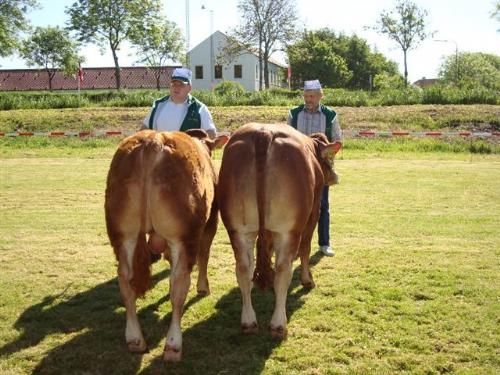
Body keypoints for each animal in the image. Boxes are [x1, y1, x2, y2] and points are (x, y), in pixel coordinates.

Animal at [106, 129, 228, 362]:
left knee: (125, 280)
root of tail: (154, 140)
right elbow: (205, 255)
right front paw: (203, 287)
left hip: (123, 233)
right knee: (178, 284)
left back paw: (135, 339)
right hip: (183, 236)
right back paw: (173, 345)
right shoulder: (211, 222)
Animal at [217, 122, 342, 338]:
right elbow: (305, 248)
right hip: (288, 231)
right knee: (284, 271)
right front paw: (308, 280)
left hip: (238, 230)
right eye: (330, 158)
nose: (335, 176)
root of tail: (263, 133)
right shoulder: (313, 212)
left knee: (243, 269)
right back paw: (278, 324)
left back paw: (248, 321)